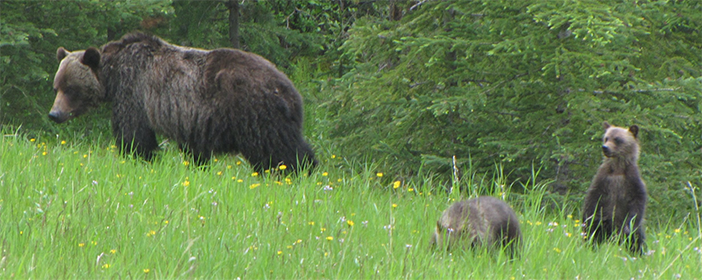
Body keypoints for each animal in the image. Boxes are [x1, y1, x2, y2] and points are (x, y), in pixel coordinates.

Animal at [51, 33, 320, 173]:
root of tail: (290, 89)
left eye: (70, 88)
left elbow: (135, 134)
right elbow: (195, 149)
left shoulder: (134, 91)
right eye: (57, 86)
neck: (112, 75)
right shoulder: (194, 119)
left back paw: (299, 171)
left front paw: (138, 158)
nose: (54, 114)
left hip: (254, 110)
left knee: (278, 149)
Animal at [584, 121, 648, 255]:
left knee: (637, 241)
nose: (605, 147)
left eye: (617, 139)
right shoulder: (603, 179)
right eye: (606, 138)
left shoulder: (632, 180)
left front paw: (629, 226)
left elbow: (637, 201)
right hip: (603, 224)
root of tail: (613, 238)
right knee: (592, 236)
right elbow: (592, 198)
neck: (618, 168)